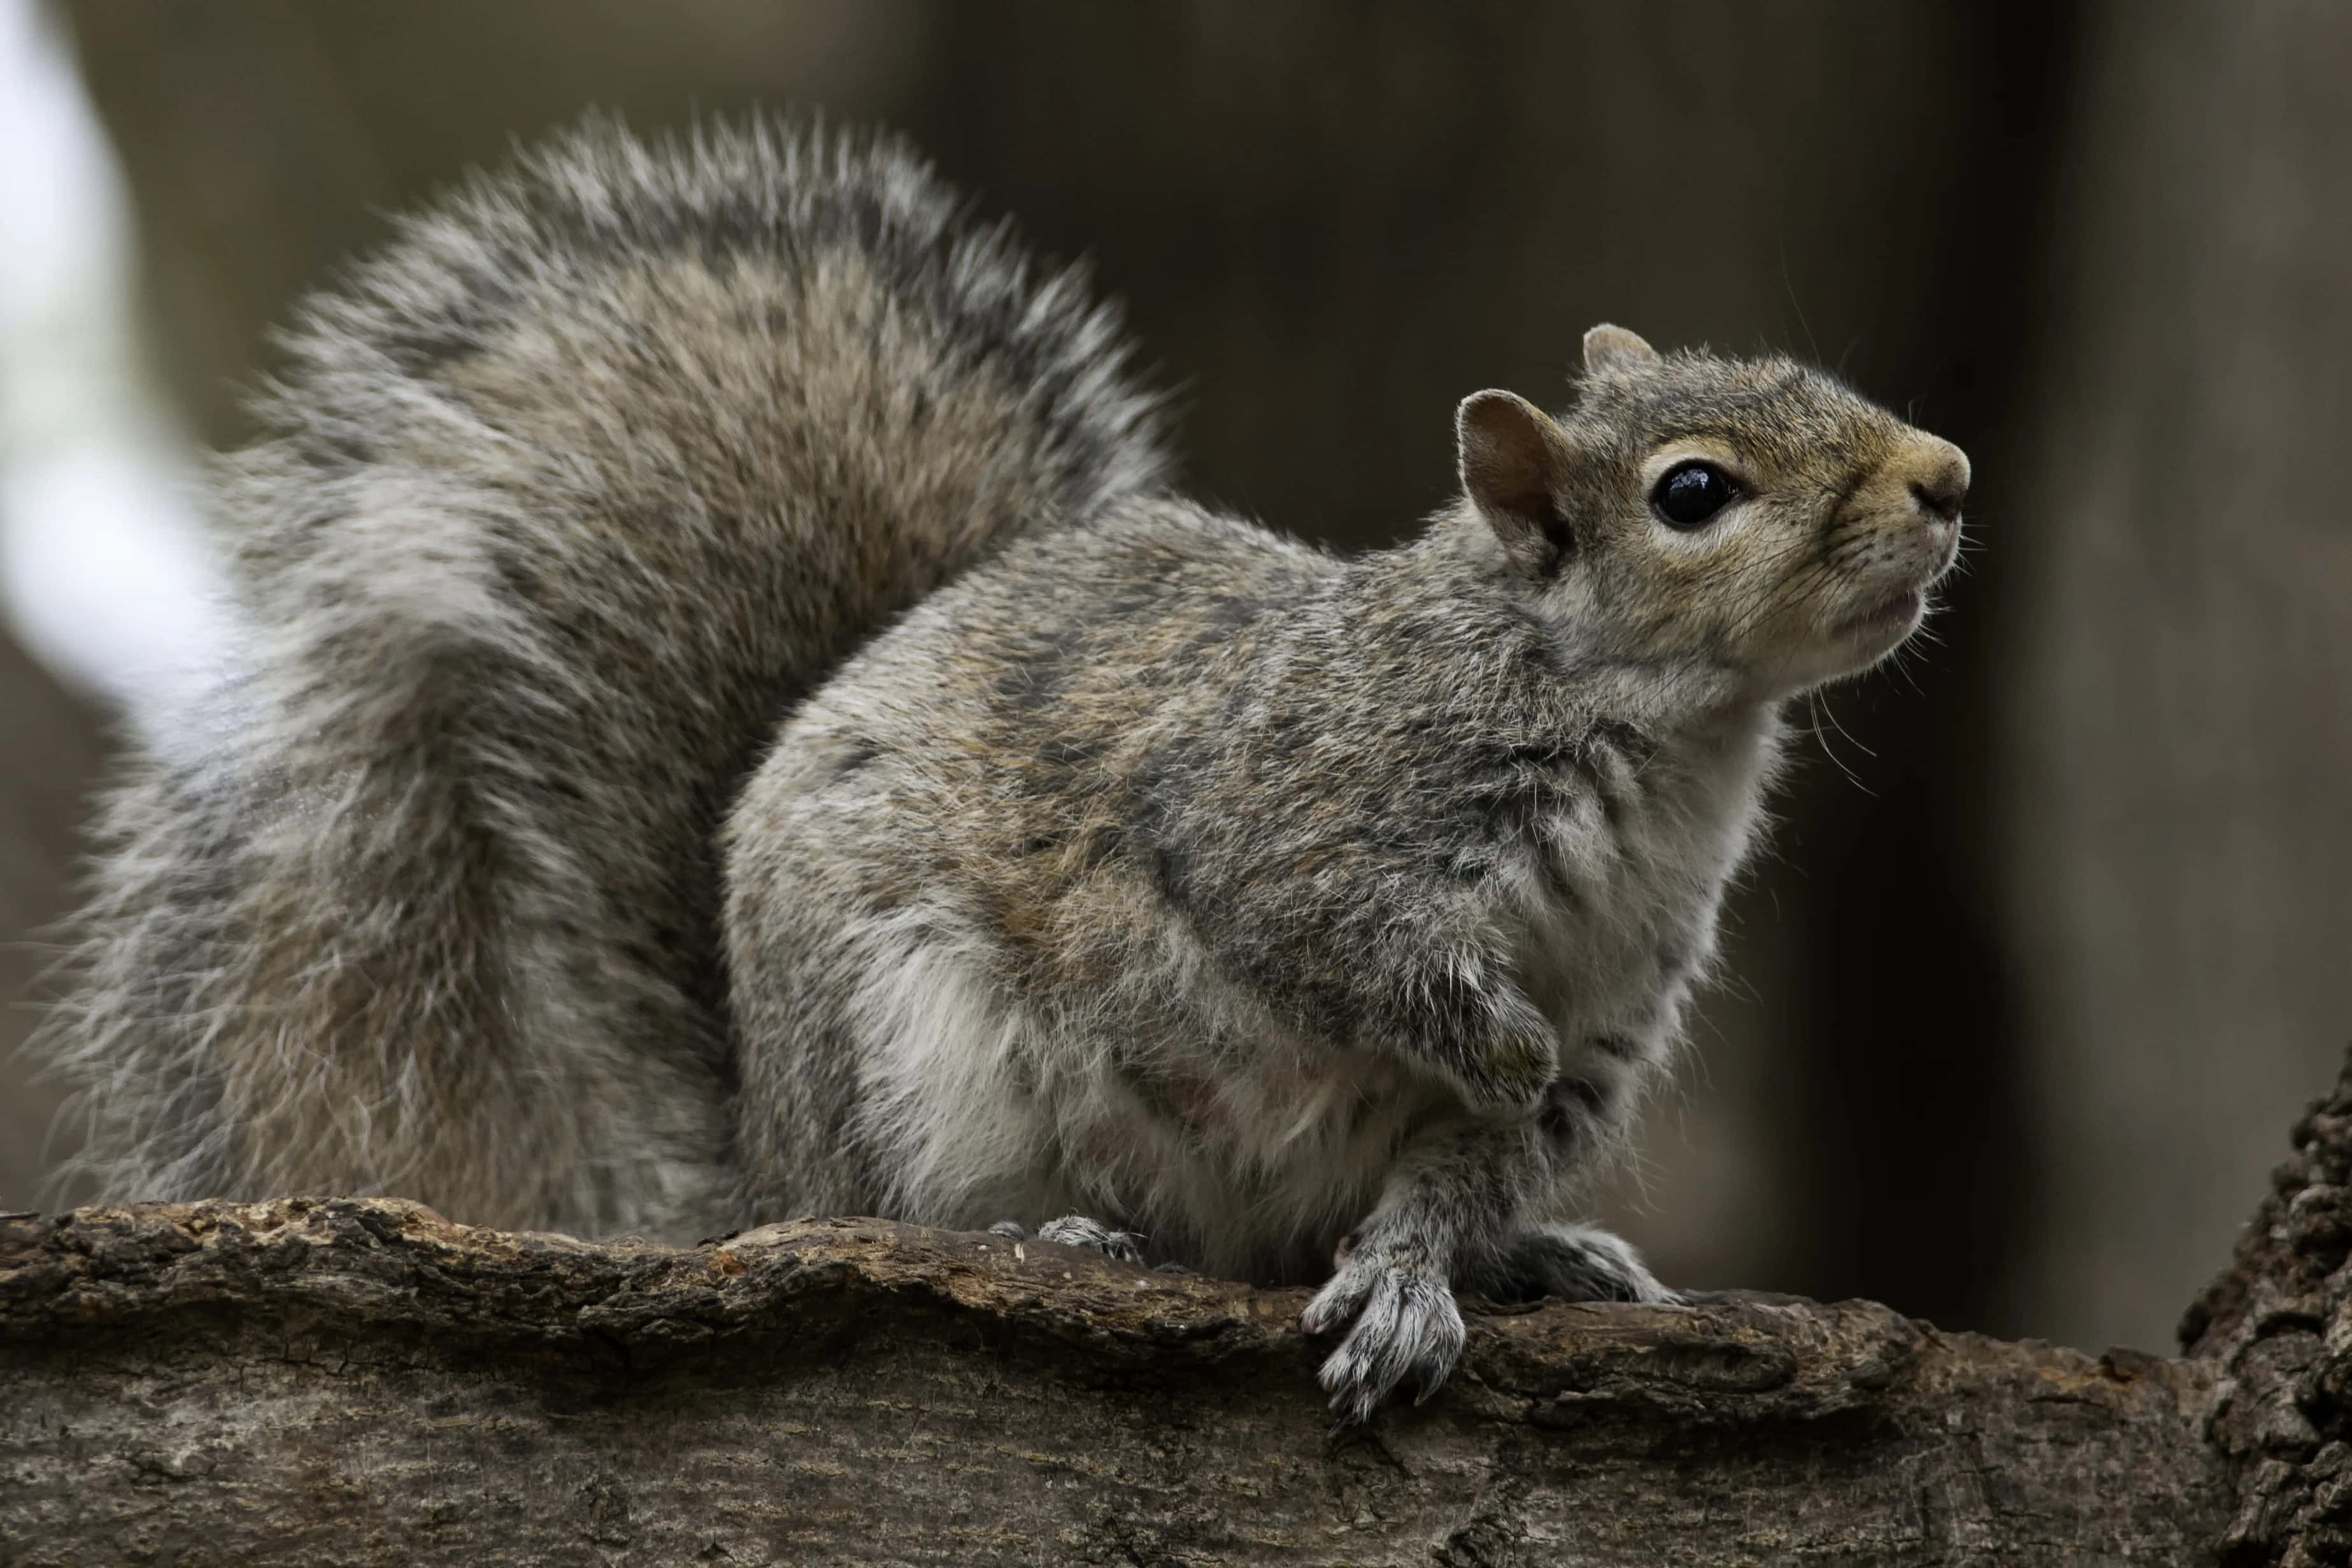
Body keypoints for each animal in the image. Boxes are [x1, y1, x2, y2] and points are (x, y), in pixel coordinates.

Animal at [39, 117, 1968, 1422]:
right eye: (1694, 491)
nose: (1946, 476)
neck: (1651, 737)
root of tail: (768, 1159)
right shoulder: (1289, 812)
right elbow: (1339, 950)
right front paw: (1481, 1045)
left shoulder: (1619, 997)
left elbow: (1463, 1165)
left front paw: (1428, 1269)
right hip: (910, 1054)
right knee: (902, 1221)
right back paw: (1050, 1240)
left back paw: (1541, 1256)